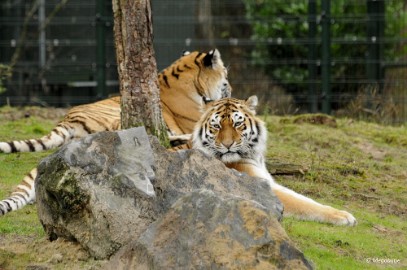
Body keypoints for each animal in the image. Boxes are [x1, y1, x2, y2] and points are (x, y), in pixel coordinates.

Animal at [192, 96, 356, 226]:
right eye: (216, 126)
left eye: (237, 124)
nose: (227, 145)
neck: (254, 156)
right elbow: (302, 203)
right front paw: (345, 217)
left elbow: (305, 198)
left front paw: (343, 213)